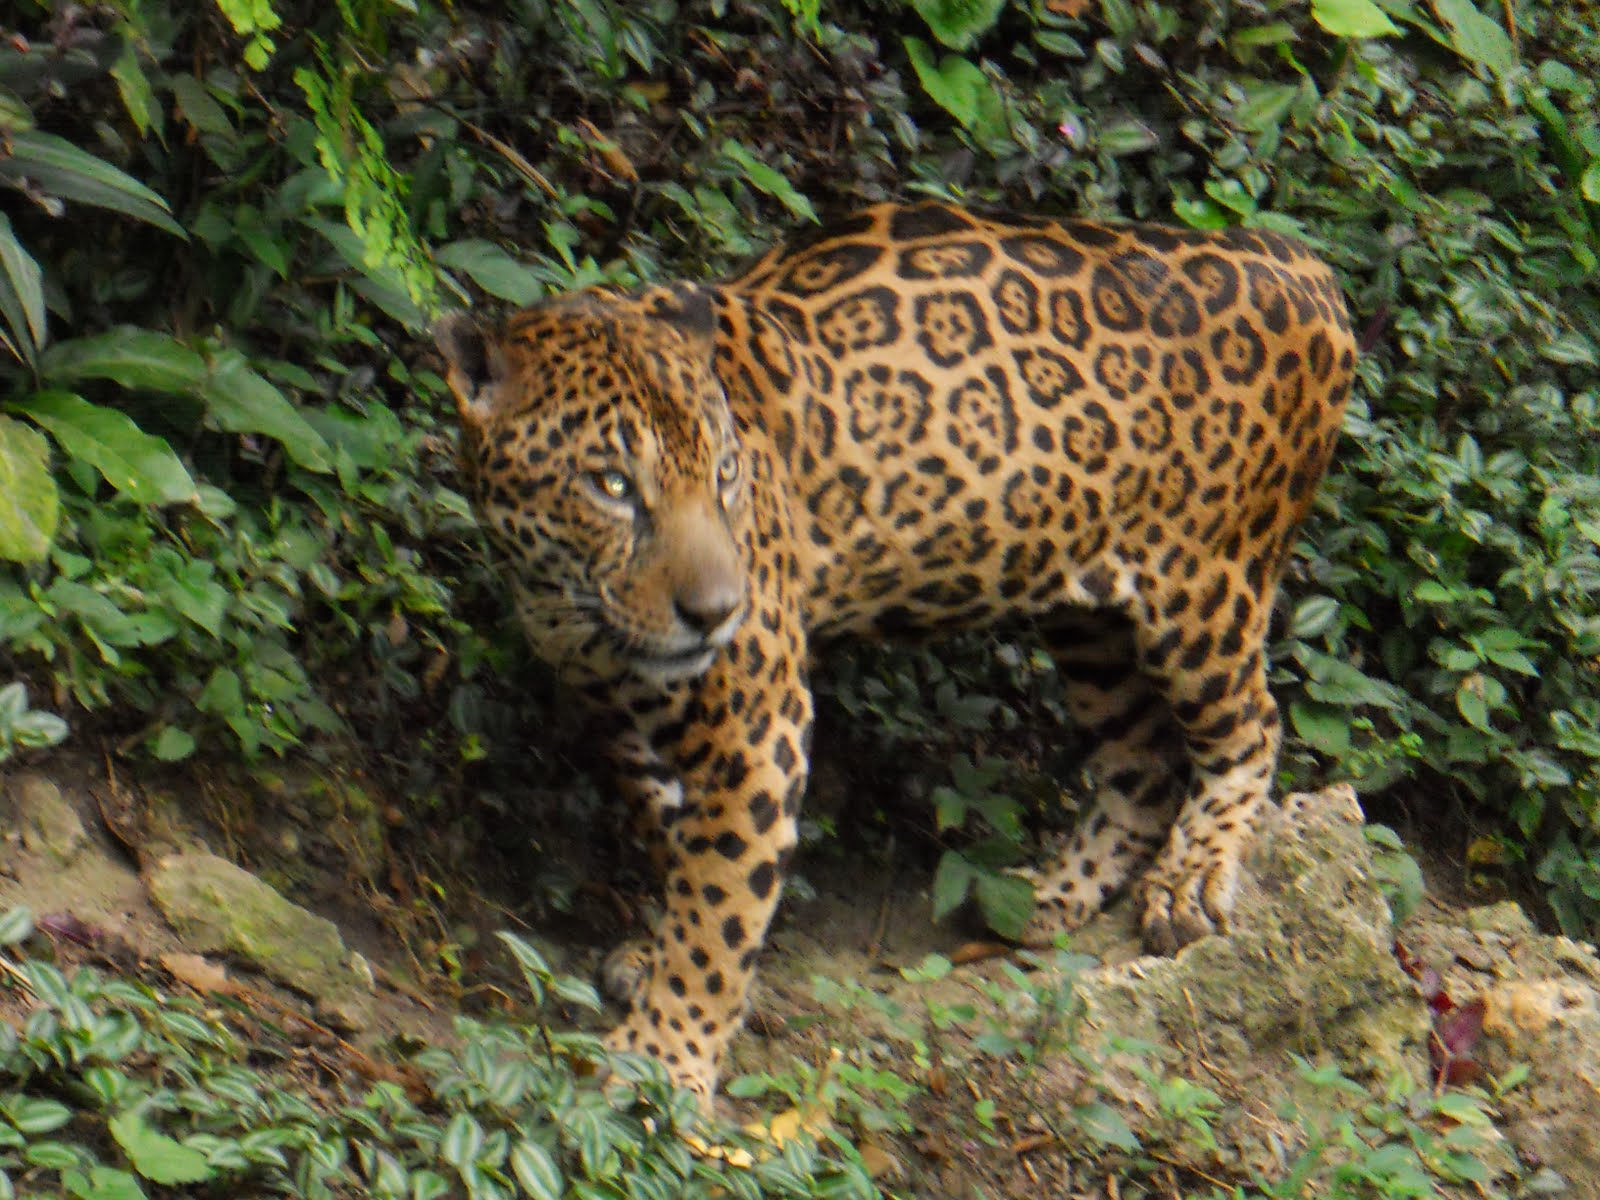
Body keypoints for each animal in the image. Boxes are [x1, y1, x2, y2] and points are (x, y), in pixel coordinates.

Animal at [431, 200, 1356, 1108]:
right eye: (612, 486)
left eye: (725, 473)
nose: (716, 613)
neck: (569, 601)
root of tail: (1295, 259)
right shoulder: (623, 720)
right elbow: (675, 848)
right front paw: (656, 960)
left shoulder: (759, 728)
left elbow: (722, 906)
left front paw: (664, 1055)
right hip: (1086, 620)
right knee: (1145, 760)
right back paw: (1046, 896)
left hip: (1207, 592)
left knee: (1250, 727)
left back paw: (1190, 878)